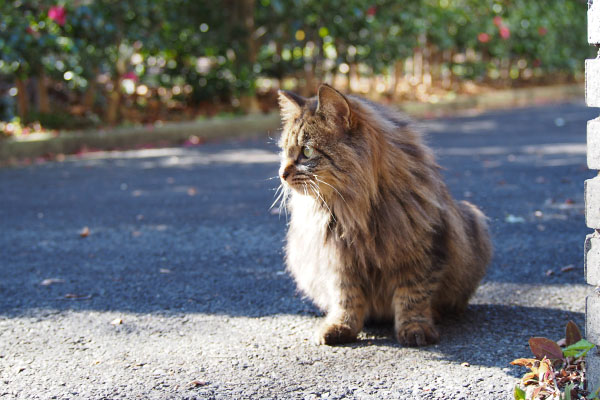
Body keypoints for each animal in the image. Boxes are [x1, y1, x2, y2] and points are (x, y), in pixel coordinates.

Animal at [276, 83, 492, 346]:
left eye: (306, 152)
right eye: (284, 151)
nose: (282, 174)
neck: (352, 210)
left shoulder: (422, 253)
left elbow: (413, 295)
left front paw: (415, 328)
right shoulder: (339, 260)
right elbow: (346, 298)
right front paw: (341, 327)